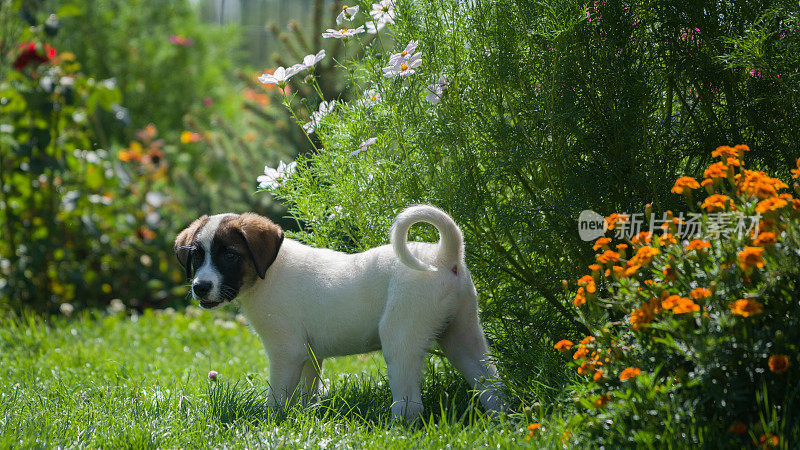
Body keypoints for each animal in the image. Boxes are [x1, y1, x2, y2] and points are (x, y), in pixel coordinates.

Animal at [176, 205, 506, 422]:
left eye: (230, 255)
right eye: (197, 256)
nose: (200, 287)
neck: (268, 272)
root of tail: (442, 257)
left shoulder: (287, 352)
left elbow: (278, 397)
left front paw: (270, 422)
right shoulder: (309, 355)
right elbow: (306, 394)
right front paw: (303, 419)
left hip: (401, 339)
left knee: (410, 403)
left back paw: (397, 428)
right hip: (464, 337)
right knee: (491, 385)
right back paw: (502, 422)